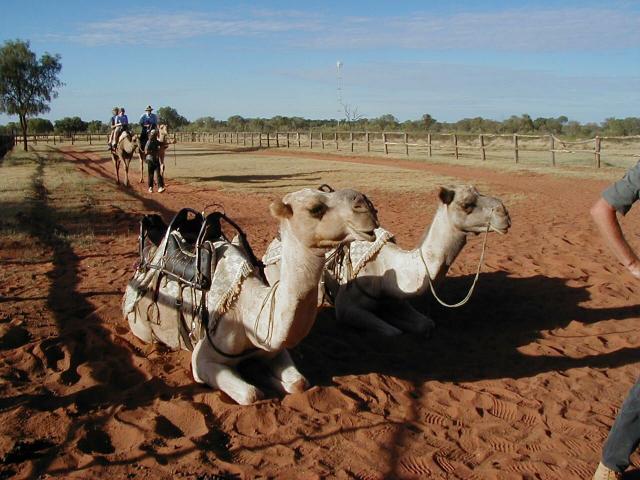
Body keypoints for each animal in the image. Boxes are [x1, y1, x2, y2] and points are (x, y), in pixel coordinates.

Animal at [122, 188, 378, 404]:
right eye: (315, 208)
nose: (366, 206)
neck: (247, 310)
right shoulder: (202, 361)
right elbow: (251, 394)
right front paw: (258, 379)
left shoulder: (272, 348)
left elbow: (299, 383)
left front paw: (265, 376)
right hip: (142, 328)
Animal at [264, 186, 510, 336]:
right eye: (467, 204)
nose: (504, 214)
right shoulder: (346, 307)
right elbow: (393, 331)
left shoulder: (397, 299)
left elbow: (426, 324)